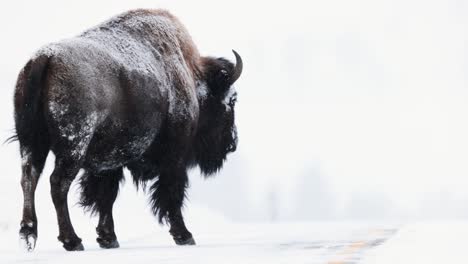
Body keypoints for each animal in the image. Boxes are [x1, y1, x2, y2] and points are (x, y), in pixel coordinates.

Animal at [13, 8, 243, 252]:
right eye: (232, 101)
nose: (233, 143)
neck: (189, 74)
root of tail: (45, 59)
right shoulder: (174, 158)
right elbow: (172, 194)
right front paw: (185, 236)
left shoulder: (109, 164)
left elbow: (106, 196)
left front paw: (108, 238)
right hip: (72, 148)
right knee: (57, 184)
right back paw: (72, 240)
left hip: (31, 142)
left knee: (29, 178)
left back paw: (28, 235)